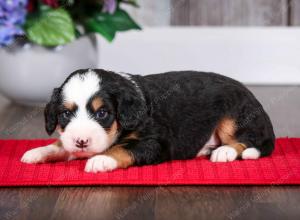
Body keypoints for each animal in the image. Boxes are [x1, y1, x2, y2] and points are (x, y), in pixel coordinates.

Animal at [19, 69, 276, 173]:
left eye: (102, 113)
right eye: (65, 114)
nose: (82, 141)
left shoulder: (155, 142)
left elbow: (122, 149)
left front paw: (101, 160)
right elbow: (61, 144)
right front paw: (38, 152)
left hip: (233, 116)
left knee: (247, 139)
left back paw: (224, 152)